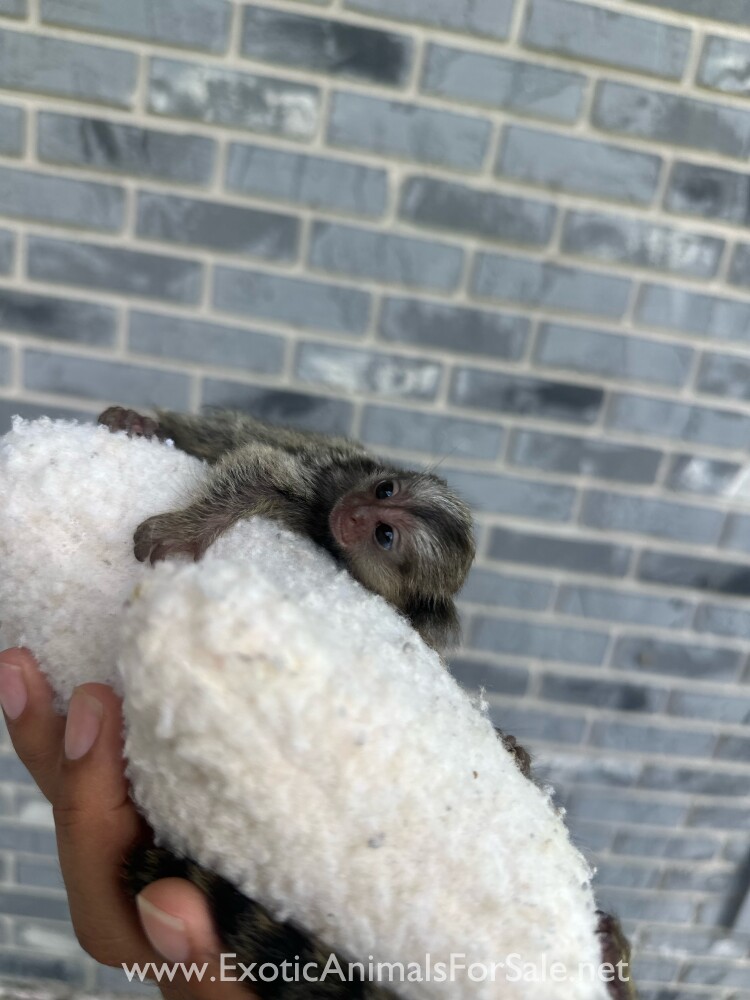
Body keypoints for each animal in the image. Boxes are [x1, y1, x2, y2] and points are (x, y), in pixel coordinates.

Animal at [98, 405, 476, 654]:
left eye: (385, 535)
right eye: (385, 490)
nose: (355, 512)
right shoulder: (331, 475)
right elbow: (261, 467)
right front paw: (187, 531)